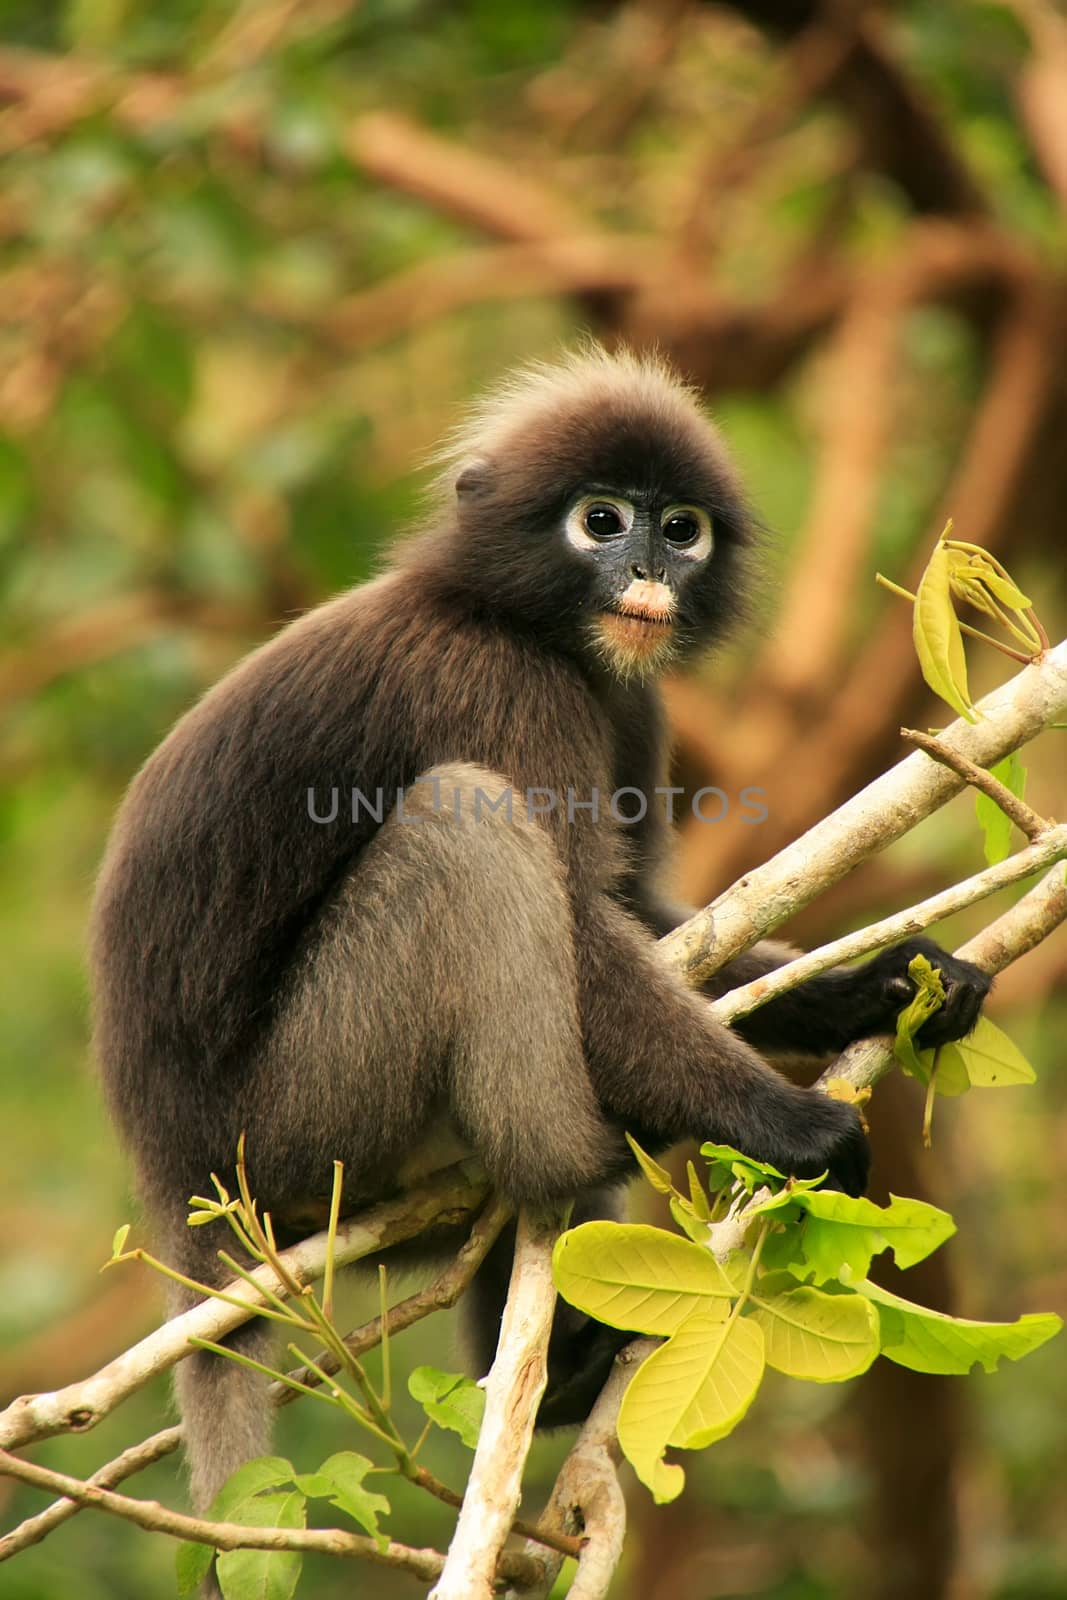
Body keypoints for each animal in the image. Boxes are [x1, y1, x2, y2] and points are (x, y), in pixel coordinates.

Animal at [87, 344, 991, 1516]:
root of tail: (173, 1179)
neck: (519, 622)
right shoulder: (492, 681)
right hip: (293, 1131)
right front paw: (784, 1123)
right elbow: (582, 927)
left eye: (680, 528)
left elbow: (645, 919)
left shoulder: (630, 700)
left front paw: (885, 981)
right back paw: (574, 1153)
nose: (647, 571)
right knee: (463, 830)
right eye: (600, 521)